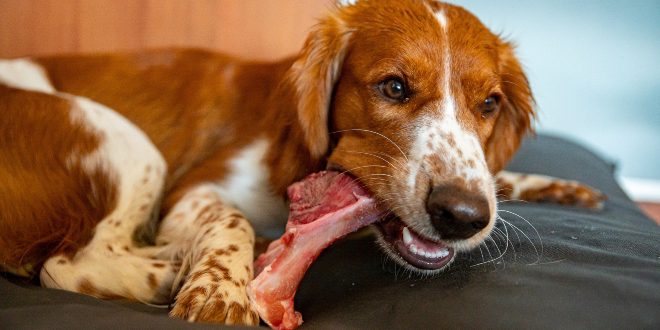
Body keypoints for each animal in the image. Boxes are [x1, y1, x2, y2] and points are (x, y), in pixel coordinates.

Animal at [0, 0, 604, 324]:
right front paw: (220, 288)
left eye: (489, 103)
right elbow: (232, 220)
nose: (463, 216)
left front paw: (557, 187)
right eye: (394, 86)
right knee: (65, 263)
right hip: (119, 135)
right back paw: (171, 268)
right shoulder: (194, 188)